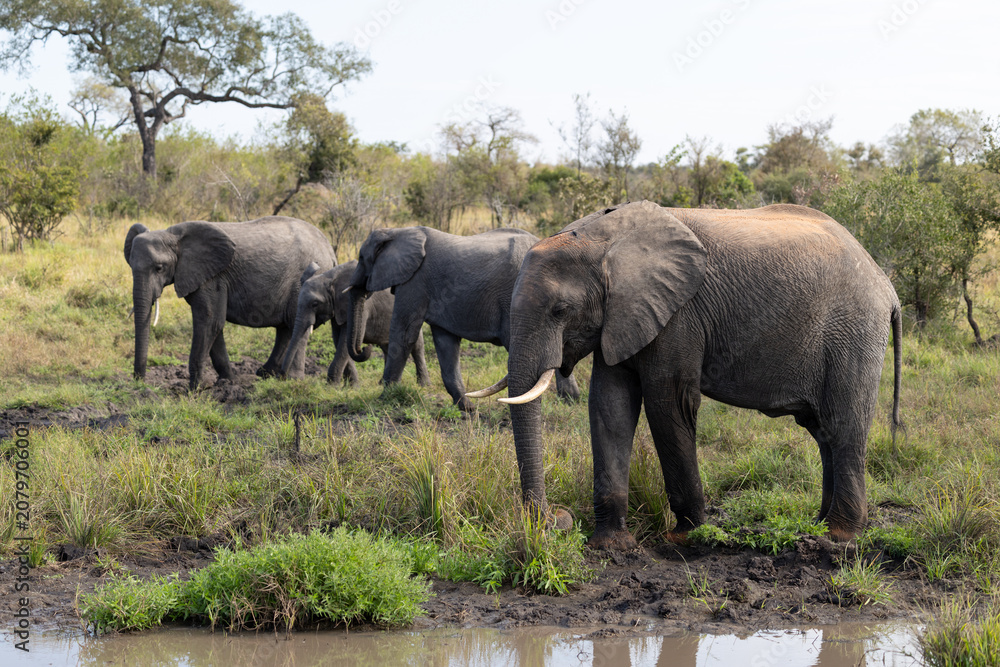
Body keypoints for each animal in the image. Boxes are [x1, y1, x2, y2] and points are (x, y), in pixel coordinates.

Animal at [124, 217, 336, 390]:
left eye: (159, 268)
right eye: (130, 266)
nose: (140, 382)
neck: (174, 236)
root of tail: (330, 250)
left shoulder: (212, 277)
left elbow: (209, 321)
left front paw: (195, 389)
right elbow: (214, 325)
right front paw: (228, 381)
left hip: (306, 281)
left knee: (296, 326)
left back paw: (289, 379)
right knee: (286, 329)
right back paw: (266, 374)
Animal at [280, 260, 431, 386]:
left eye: (315, 304)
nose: (283, 377)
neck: (331, 277)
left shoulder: (362, 305)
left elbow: (345, 341)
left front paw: (332, 386)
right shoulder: (337, 308)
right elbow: (339, 340)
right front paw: (352, 386)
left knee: (417, 346)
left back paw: (423, 385)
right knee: (387, 347)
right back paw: (382, 383)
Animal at [346, 226, 581, 410]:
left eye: (361, 258)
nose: (364, 348)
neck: (397, 231)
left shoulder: (415, 282)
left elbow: (403, 335)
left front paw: (383, 400)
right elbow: (446, 344)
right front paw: (467, 409)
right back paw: (571, 400)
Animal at [470, 201, 902, 546]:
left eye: (560, 311)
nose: (555, 519)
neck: (602, 238)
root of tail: (886, 285)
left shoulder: (678, 314)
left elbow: (668, 402)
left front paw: (686, 536)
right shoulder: (623, 314)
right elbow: (610, 405)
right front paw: (611, 545)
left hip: (853, 333)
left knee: (843, 426)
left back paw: (838, 537)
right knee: (822, 430)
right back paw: (819, 525)